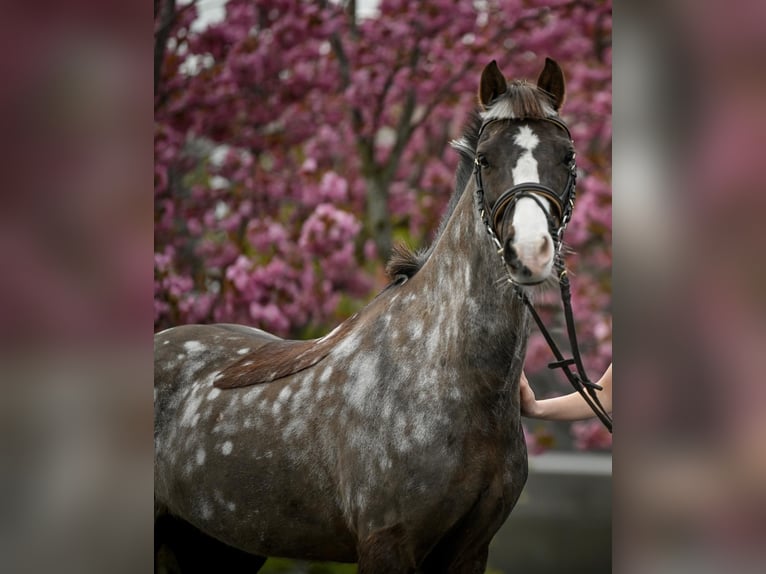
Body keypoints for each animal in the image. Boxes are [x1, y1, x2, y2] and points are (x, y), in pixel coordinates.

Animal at [158, 56, 584, 572]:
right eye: (485, 159)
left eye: (567, 156)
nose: (530, 252)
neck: (444, 369)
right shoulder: (386, 543)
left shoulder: (470, 550)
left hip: (220, 545)